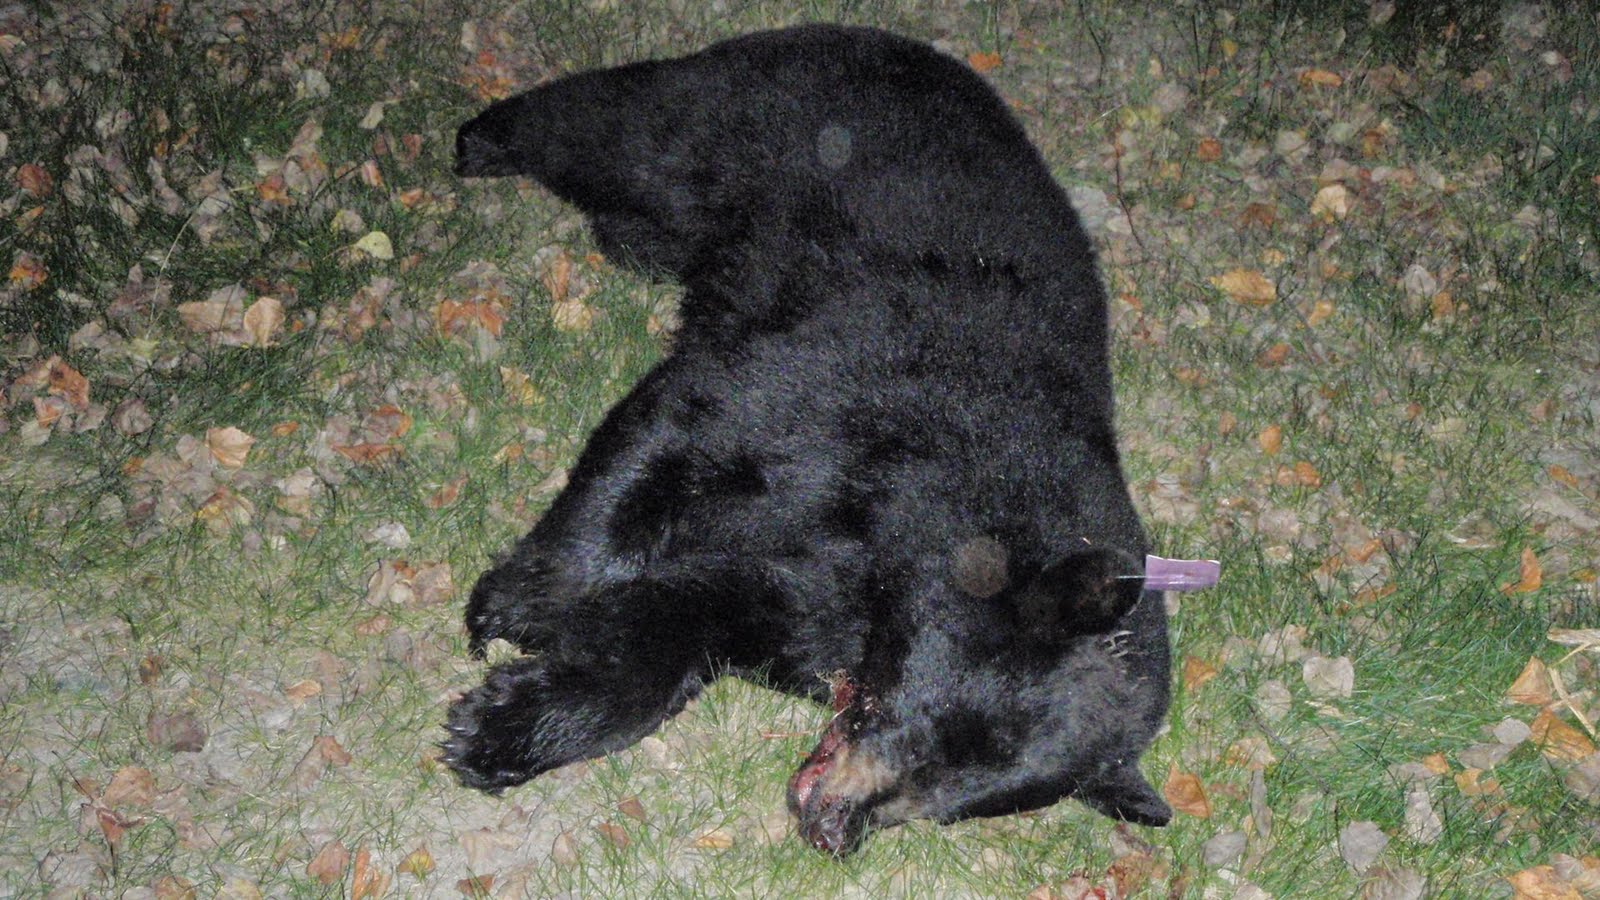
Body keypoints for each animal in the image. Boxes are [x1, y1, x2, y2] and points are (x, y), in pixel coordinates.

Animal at [444, 23, 1172, 855]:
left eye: (973, 799)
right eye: (947, 729)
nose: (834, 827)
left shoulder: (824, 604)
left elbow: (698, 618)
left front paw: (509, 721)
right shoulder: (847, 388)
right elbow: (673, 433)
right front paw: (520, 607)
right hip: (733, 126)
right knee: (617, 126)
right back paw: (485, 138)